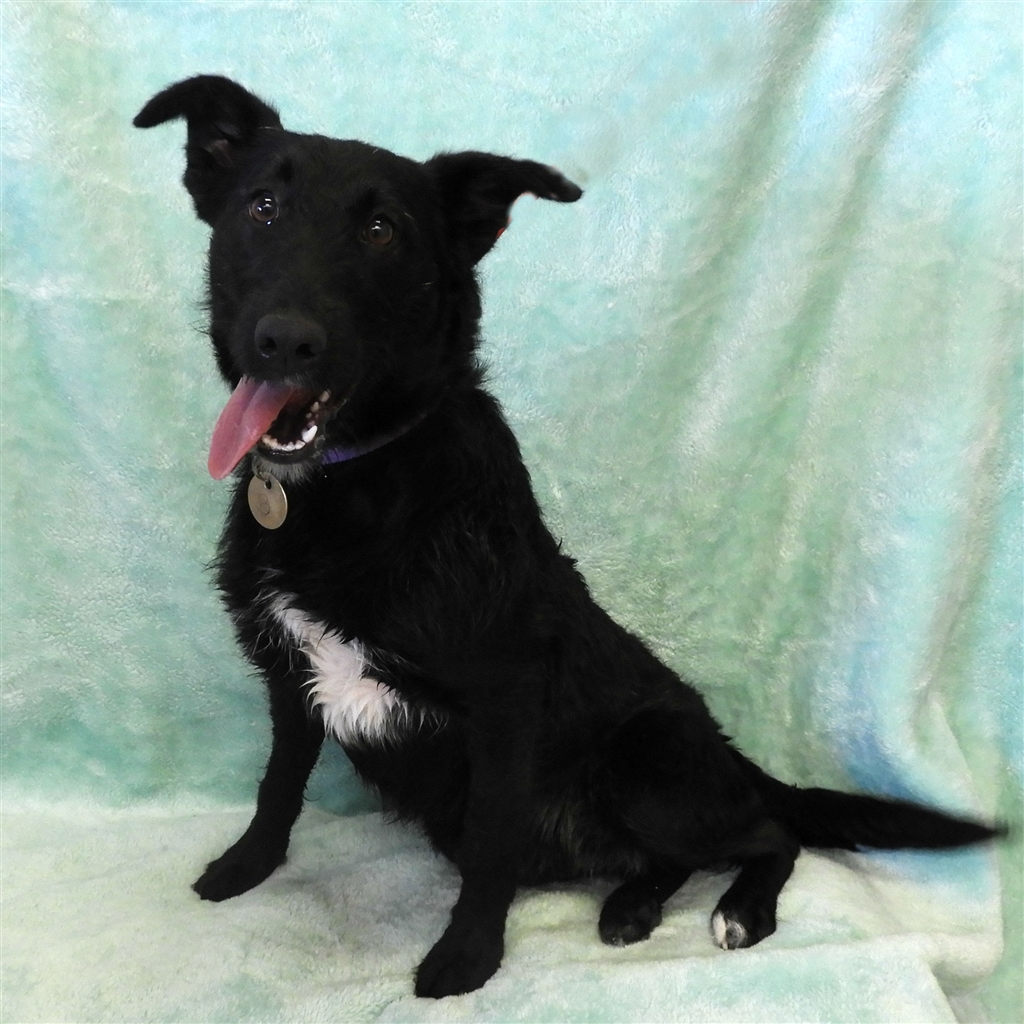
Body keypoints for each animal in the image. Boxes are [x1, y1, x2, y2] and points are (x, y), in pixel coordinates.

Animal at [134, 75, 1001, 999]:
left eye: (381, 230)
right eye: (261, 207)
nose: (284, 339)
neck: (359, 479)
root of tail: (733, 759)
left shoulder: (503, 705)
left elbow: (490, 852)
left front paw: (468, 957)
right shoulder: (290, 677)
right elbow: (278, 786)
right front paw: (246, 866)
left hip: (646, 764)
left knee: (774, 833)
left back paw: (740, 910)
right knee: (663, 857)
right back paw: (632, 907)